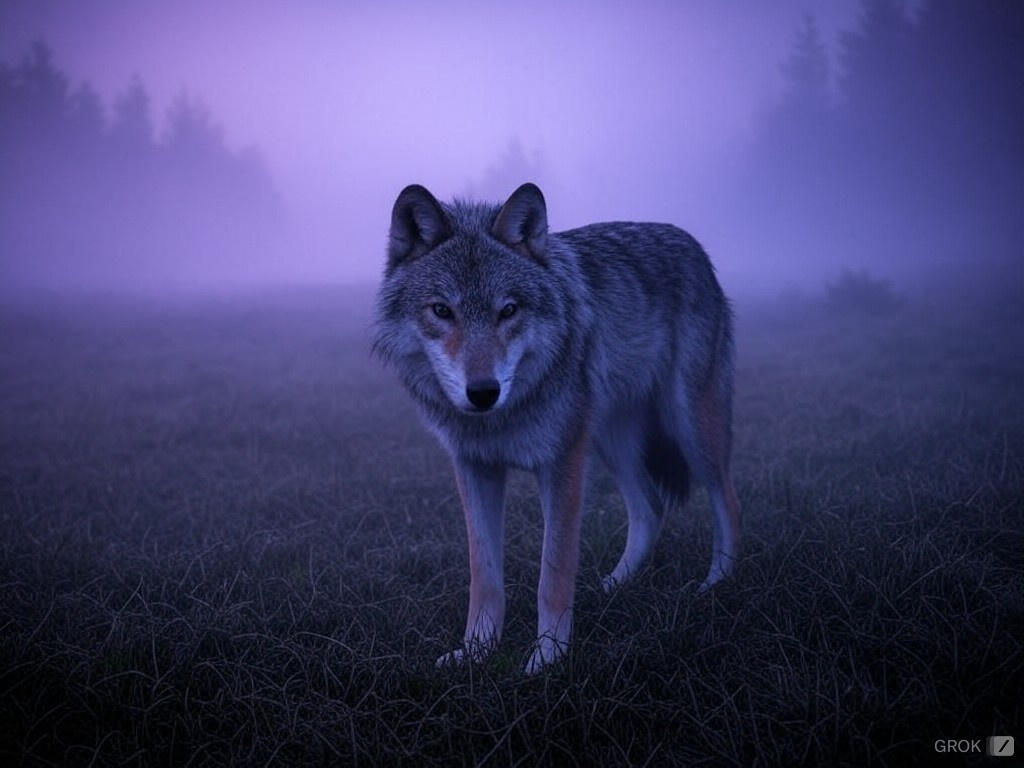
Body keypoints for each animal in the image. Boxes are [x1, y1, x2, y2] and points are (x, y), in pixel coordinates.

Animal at [373, 182, 741, 674]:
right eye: (442, 311)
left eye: (508, 310)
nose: (483, 391)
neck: (501, 418)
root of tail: (690, 243)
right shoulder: (474, 469)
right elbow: (484, 578)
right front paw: (476, 652)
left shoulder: (562, 464)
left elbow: (554, 574)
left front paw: (547, 658)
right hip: (609, 440)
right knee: (650, 507)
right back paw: (613, 586)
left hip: (689, 428)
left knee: (728, 502)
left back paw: (715, 585)